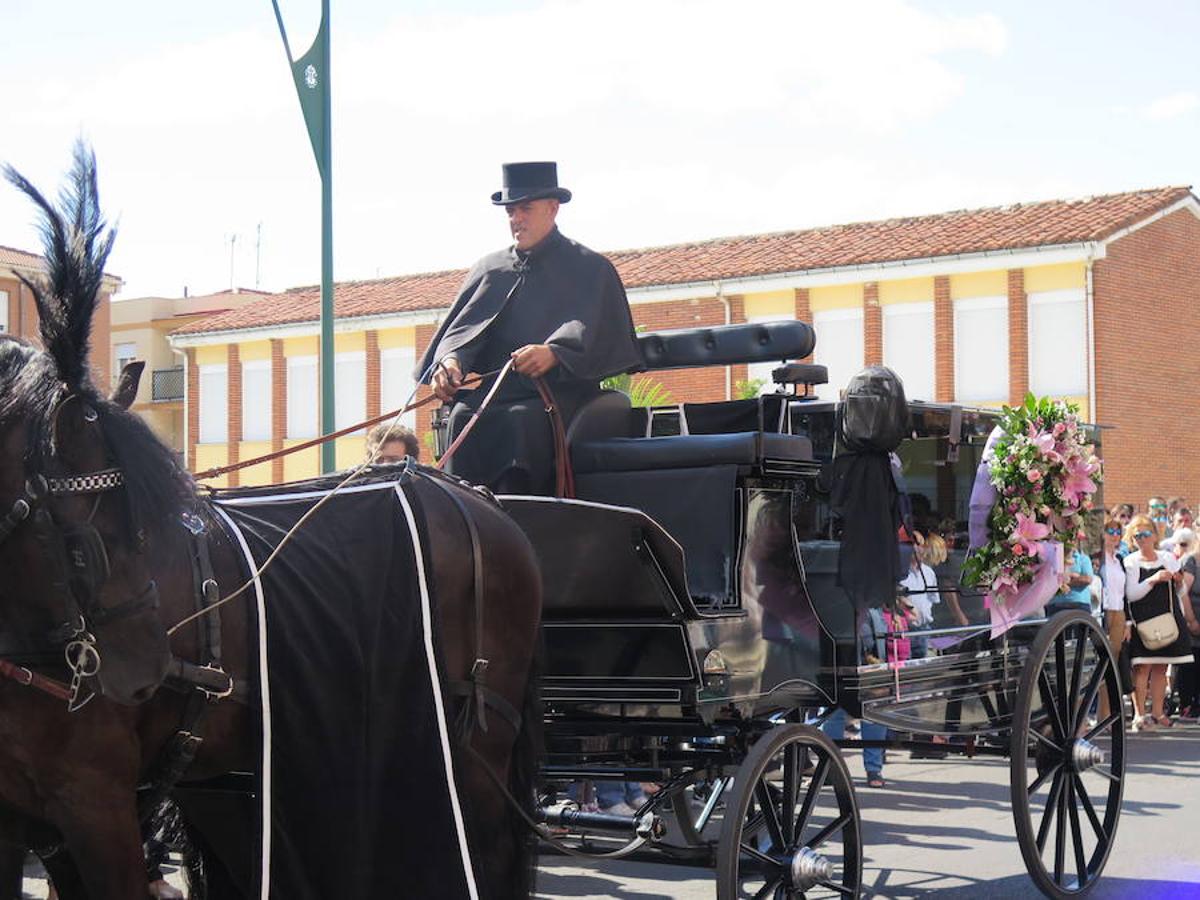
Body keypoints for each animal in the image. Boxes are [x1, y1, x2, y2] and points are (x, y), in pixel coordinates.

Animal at [0, 144, 540, 897]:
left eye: (135, 531)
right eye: (84, 539)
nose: (145, 673)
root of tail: (477, 497)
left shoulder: (96, 803)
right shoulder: (21, 822)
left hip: (478, 756)